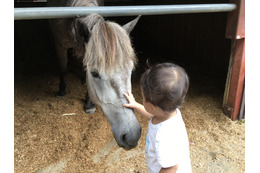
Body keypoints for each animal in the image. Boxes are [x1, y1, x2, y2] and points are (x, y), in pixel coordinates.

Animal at [47, 0, 141, 149]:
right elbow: (63, 68)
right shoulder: (59, 45)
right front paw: (61, 89)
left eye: (131, 69)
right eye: (95, 73)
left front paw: (89, 103)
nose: (132, 135)